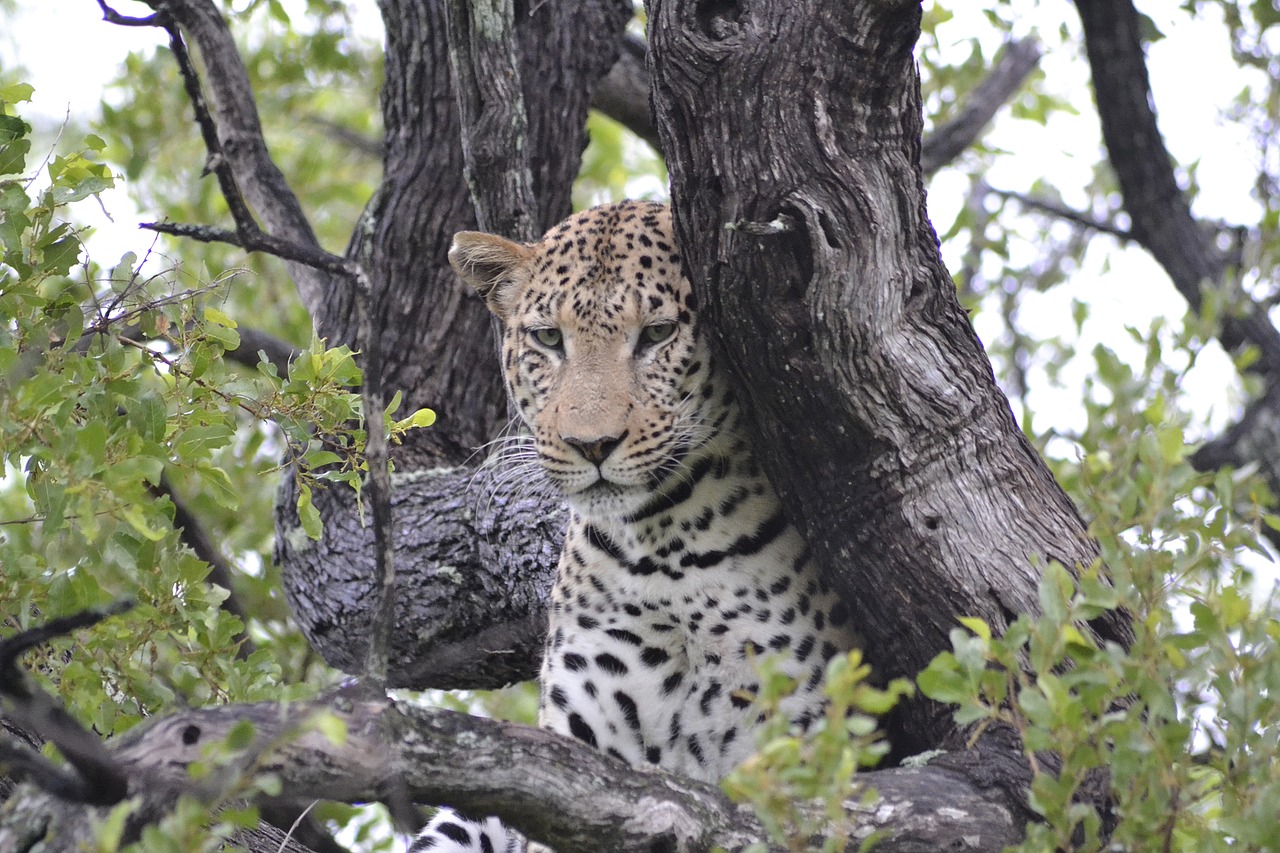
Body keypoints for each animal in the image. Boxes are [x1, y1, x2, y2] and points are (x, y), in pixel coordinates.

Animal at [409, 201, 860, 850]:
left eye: (657, 334)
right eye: (549, 338)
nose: (591, 444)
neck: (668, 548)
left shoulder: (794, 749)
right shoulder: (581, 752)